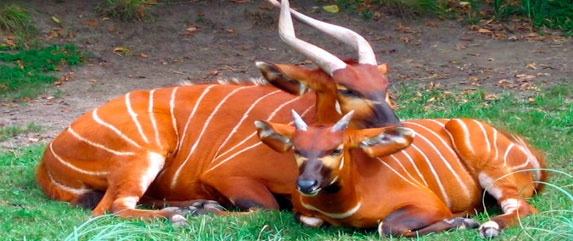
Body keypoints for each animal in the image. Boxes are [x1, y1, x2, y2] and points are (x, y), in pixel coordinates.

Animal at [35, 0, 400, 224]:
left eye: (384, 82)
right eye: (346, 89)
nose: (395, 125)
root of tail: (46, 161)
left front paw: (206, 207)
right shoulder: (225, 176)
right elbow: (268, 208)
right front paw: (209, 211)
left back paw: (194, 206)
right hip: (145, 155)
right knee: (109, 208)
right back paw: (178, 215)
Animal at [255, 110, 544, 238]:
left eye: (337, 149)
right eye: (297, 149)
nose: (306, 184)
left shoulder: (429, 204)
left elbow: (387, 227)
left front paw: (461, 222)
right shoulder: (305, 213)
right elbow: (311, 220)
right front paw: (461, 219)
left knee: (524, 208)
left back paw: (489, 226)